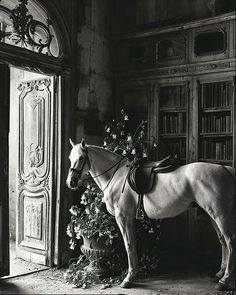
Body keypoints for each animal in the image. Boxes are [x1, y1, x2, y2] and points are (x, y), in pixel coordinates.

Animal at [66, 139, 236, 292]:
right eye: (70, 158)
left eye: (81, 158)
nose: (71, 182)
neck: (115, 176)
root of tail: (225, 168)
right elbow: (133, 243)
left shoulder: (123, 217)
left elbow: (129, 244)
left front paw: (129, 278)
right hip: (212, 214)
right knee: (222, 241)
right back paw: (220, 273)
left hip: (220, 214)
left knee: (230, 242)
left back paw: (224, 281)